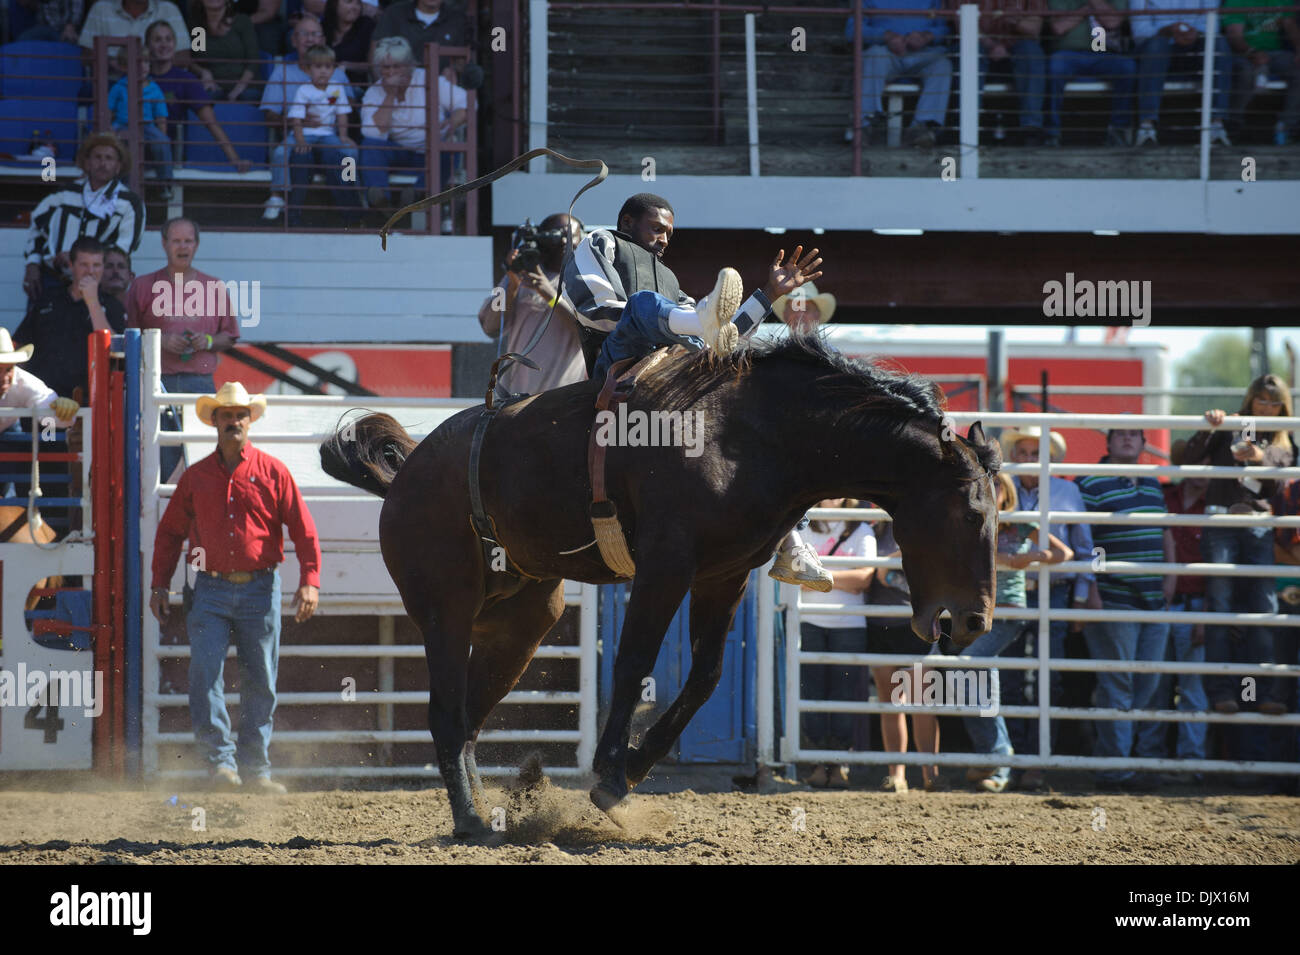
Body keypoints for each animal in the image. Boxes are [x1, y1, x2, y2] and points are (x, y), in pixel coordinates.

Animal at [319, 335, 998, 836]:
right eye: (972, 514)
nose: (972, 622)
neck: (753, 433)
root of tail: (409, 471)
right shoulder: (666, 567)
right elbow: (633, 663)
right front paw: (609, 780)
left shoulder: (725, 573)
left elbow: (704, 677)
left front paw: (634, 769)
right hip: (445, 607)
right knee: (443, 711)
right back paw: (468, 820)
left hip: (522, 618)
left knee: (469, 715)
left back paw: (488, 815)